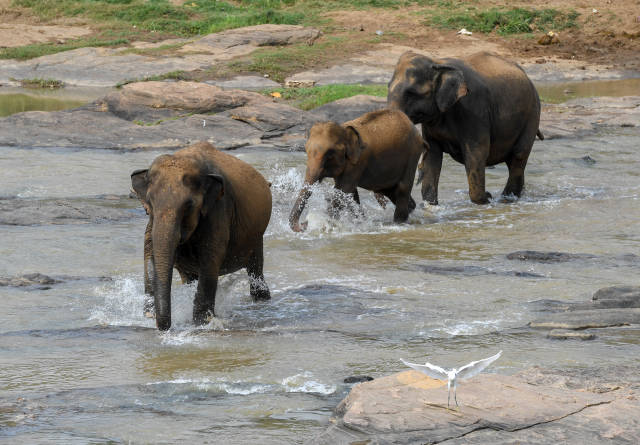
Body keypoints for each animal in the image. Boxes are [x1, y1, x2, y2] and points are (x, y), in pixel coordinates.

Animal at [130, 141, 270, 330]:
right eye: (150, 203)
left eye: (188, 205)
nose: (165, 327)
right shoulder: (151, 223)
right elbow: (149, 255)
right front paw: (148, 317)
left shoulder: (218, 211)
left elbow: (210, 261)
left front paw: (202, 323)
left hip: (256, 237)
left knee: (256, 269)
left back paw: (262, 300)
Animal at [290, 109, 424, 231]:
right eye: (306, 151)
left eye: (329, 154)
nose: (304, 223)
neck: (344, 129)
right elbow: (351, 194)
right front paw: (359, 222)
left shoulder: (358, 161)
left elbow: (343, 191)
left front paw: (328, 224)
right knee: (389, 190)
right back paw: (410, 210)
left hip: (413, 154)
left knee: (403, 188)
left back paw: (398, 223)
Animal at [388, 51, 544, 204]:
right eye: (388, 88)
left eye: (411, 93)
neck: (438, 62)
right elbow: (433, 156)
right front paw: (430, 205)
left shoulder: (474, 110)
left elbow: (476, 153)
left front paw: (486, 199)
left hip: (532, 113)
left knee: (519, 154)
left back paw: (506, 199)